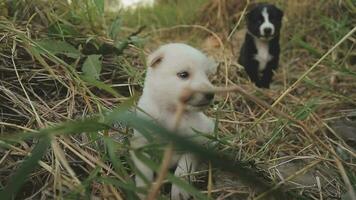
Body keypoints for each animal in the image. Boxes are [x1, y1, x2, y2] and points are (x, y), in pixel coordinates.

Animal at [129, 43, 216, 199]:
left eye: (206, 75)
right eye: (183, 74)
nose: (211, 94)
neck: (171, 112)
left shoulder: (196, 142)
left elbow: (183, 168)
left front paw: (179, 191)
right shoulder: (141, 141)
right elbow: (143, 169)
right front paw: (144, 190)